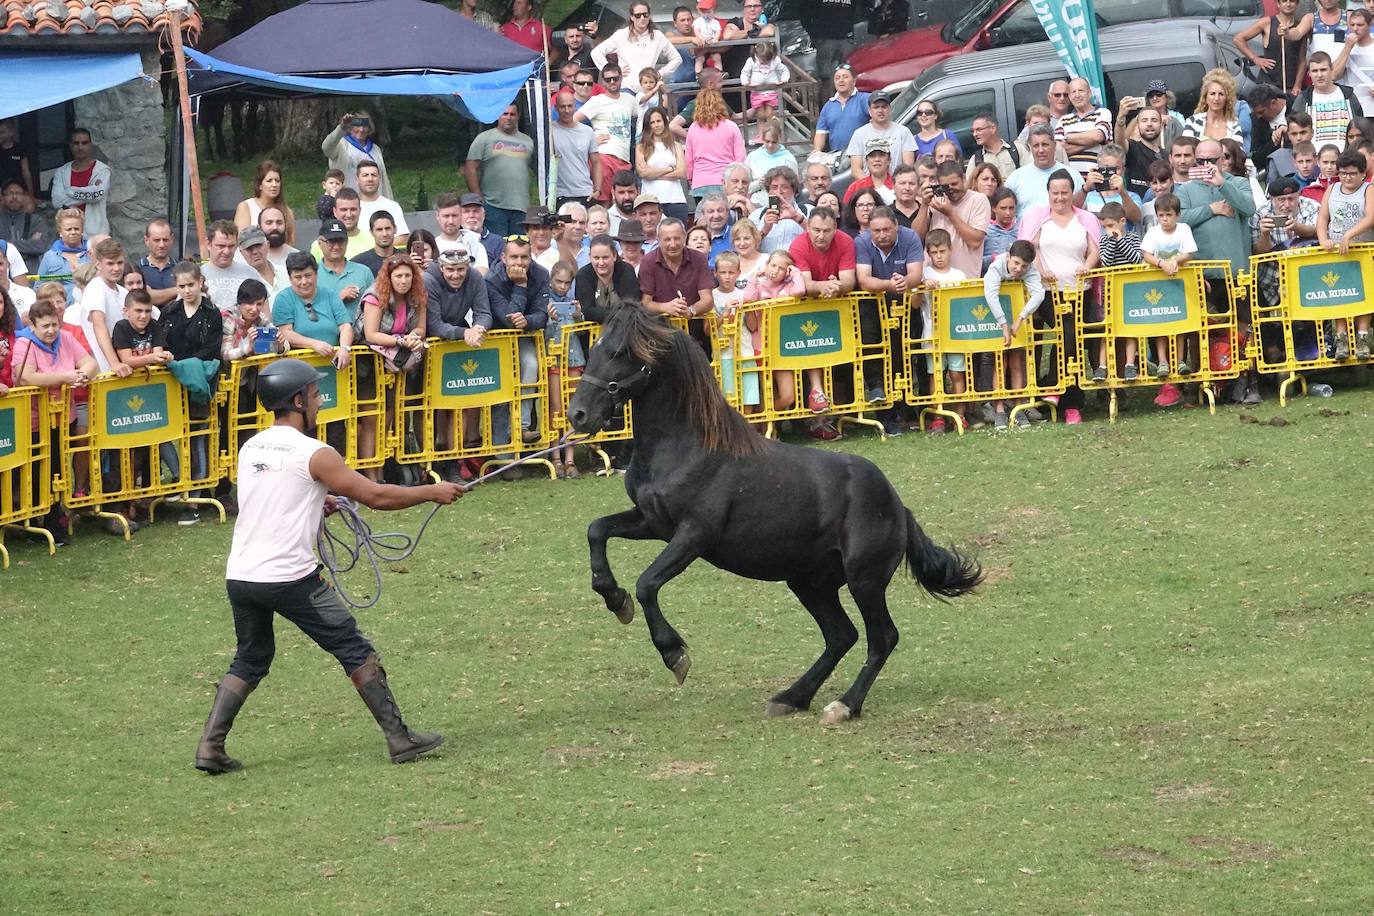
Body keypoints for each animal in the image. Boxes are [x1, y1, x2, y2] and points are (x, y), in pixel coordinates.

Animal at [568, 307, 989, 725]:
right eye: (596, 346)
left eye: (620, 352)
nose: (578, 415)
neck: (687, 446)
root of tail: (898, 506)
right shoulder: (653, 523)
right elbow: (596, 530)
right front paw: (614, 597)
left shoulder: (693, 535)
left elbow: (647, 584)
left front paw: (674, 655)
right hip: (809, 582)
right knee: (842, 636)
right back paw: (791, 697)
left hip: (863, 580)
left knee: (881, 637)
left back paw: (843, 706)